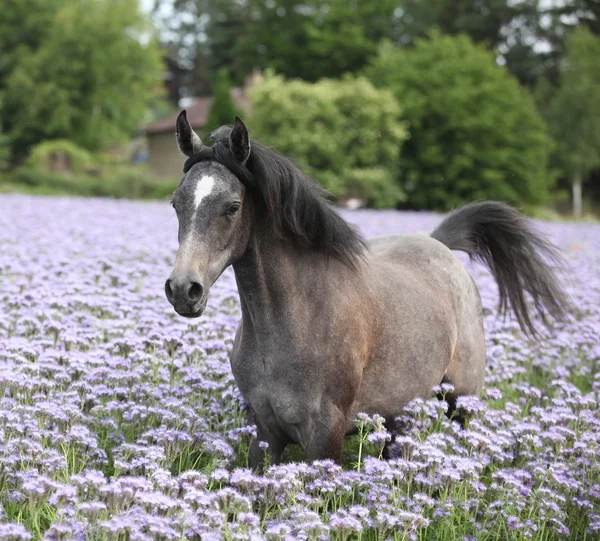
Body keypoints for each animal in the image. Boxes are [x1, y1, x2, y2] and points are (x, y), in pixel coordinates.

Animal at [166, 112, 568, 466]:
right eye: (176, 203)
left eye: (233, 207)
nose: (184, 289)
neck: (295, 319)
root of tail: (438, 243)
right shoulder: (264, 434)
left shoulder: (325, 438)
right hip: (398, 417)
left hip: (462, 403)